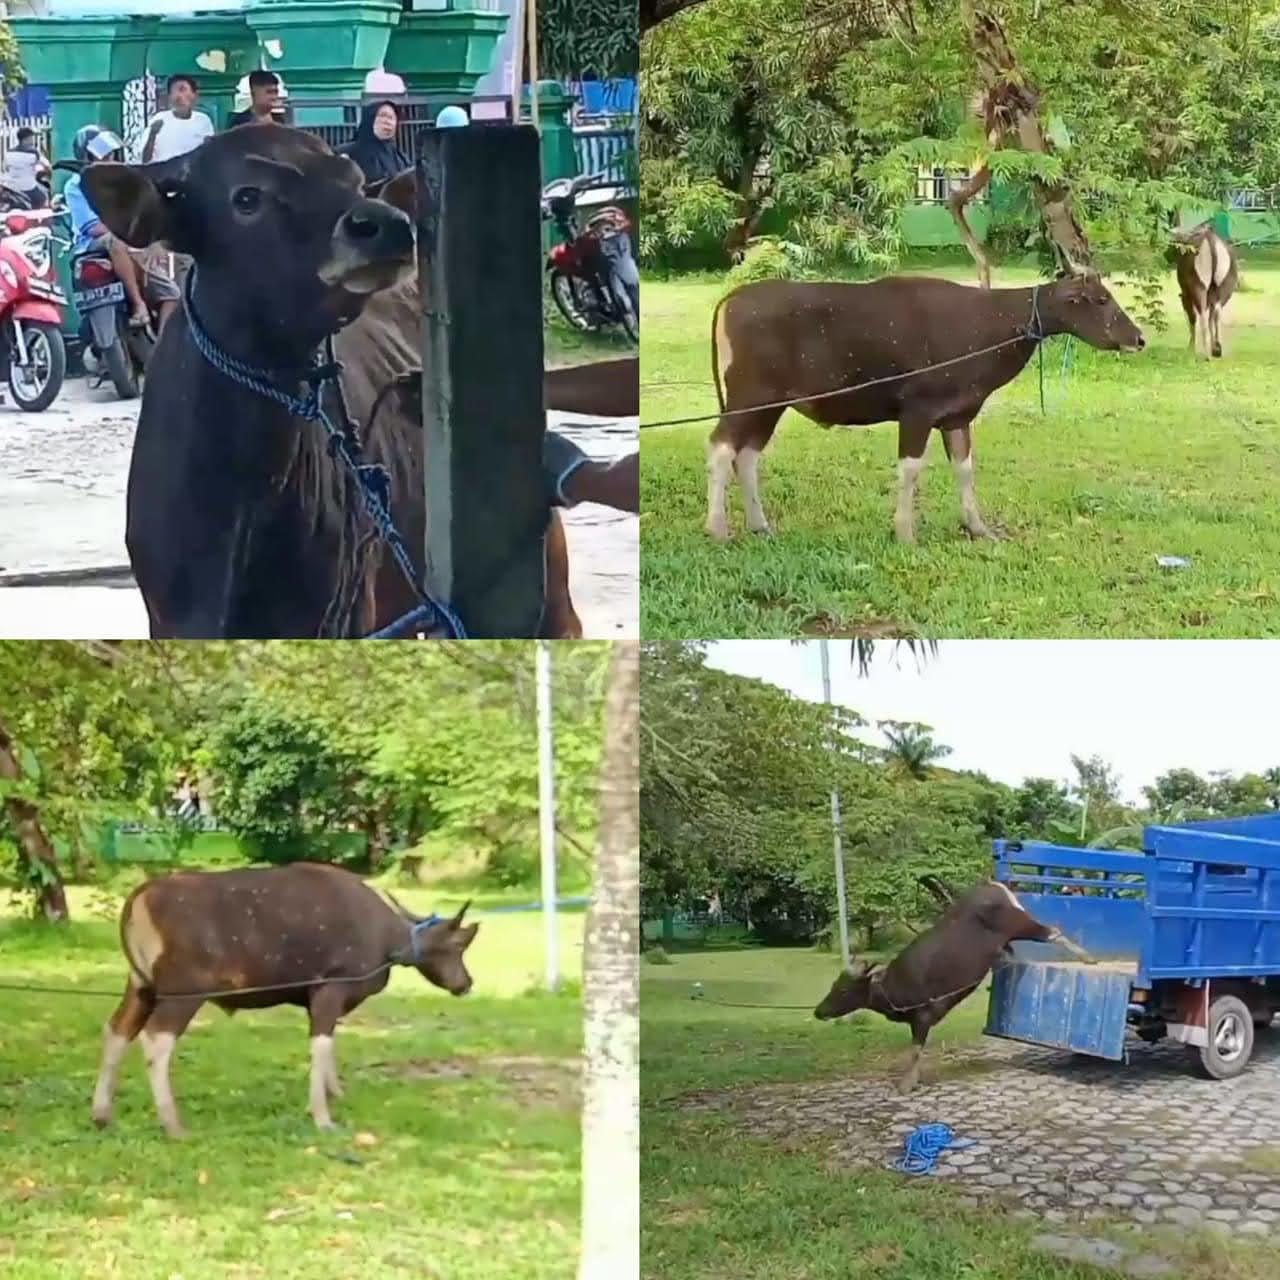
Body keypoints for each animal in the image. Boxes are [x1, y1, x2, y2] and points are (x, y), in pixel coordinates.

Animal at [91, 865, 481, 1136]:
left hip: (140, 985)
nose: (466, 983)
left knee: (117, 1030)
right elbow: (320, 1045)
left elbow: (329, 1043)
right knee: (156, 1039)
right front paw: (322, 1116)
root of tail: (139, 897)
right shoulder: (330, 988)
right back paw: (172, 1124)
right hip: (183, 991)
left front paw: (335, 1092)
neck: (386, 941)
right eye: (457, 946)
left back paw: (101, 1113)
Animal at [706, 273, 1146, 540]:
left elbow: (965, 470)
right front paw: (904, 532)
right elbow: (910, 469)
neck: (988, 326)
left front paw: (978, 528)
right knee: (720, 448)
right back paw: (717, 528)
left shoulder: (957, 416)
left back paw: (760, 526)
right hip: (748, 397)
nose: (1139, 338)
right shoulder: (916, 412)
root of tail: (732, 298)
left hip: (771, 404)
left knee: (747, 455)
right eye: (1101, 300)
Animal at [814, 880, 1085, 1090]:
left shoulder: (922, 1018)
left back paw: (1086, 956)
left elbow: (915, 1050)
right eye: (834, 984)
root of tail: (992, 887)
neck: (893, 985)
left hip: (1021, 924)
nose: (818, 1011)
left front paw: (907, 1083)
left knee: (1052, 932)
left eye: (844, 989)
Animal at [1172, 221, 1239, 358]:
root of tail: (1211, 242)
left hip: (1199, 285)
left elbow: (1193, 318)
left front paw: (1191, 347)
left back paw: (1206, 354)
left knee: (1202, 314)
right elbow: (1211, 318)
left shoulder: (1186, 296)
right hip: (1224, 286)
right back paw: (1216, 348)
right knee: (1216, 313)